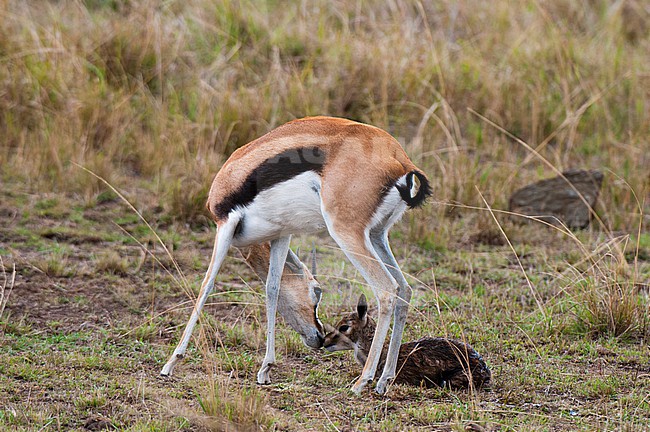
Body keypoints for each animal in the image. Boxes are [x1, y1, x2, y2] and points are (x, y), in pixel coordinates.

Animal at [160, 116, 431, 394]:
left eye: (318, 291)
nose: (319, 338)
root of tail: (399, 158)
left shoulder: (224, 224)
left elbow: (206, 285)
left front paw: (171, 362)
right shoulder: (281, 233)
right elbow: (272, 287)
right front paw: (265, 369)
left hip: (346, 232)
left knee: (387, 290)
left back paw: (362, 381)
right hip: (377, 234)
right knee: (405, 289)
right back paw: (384, 379)